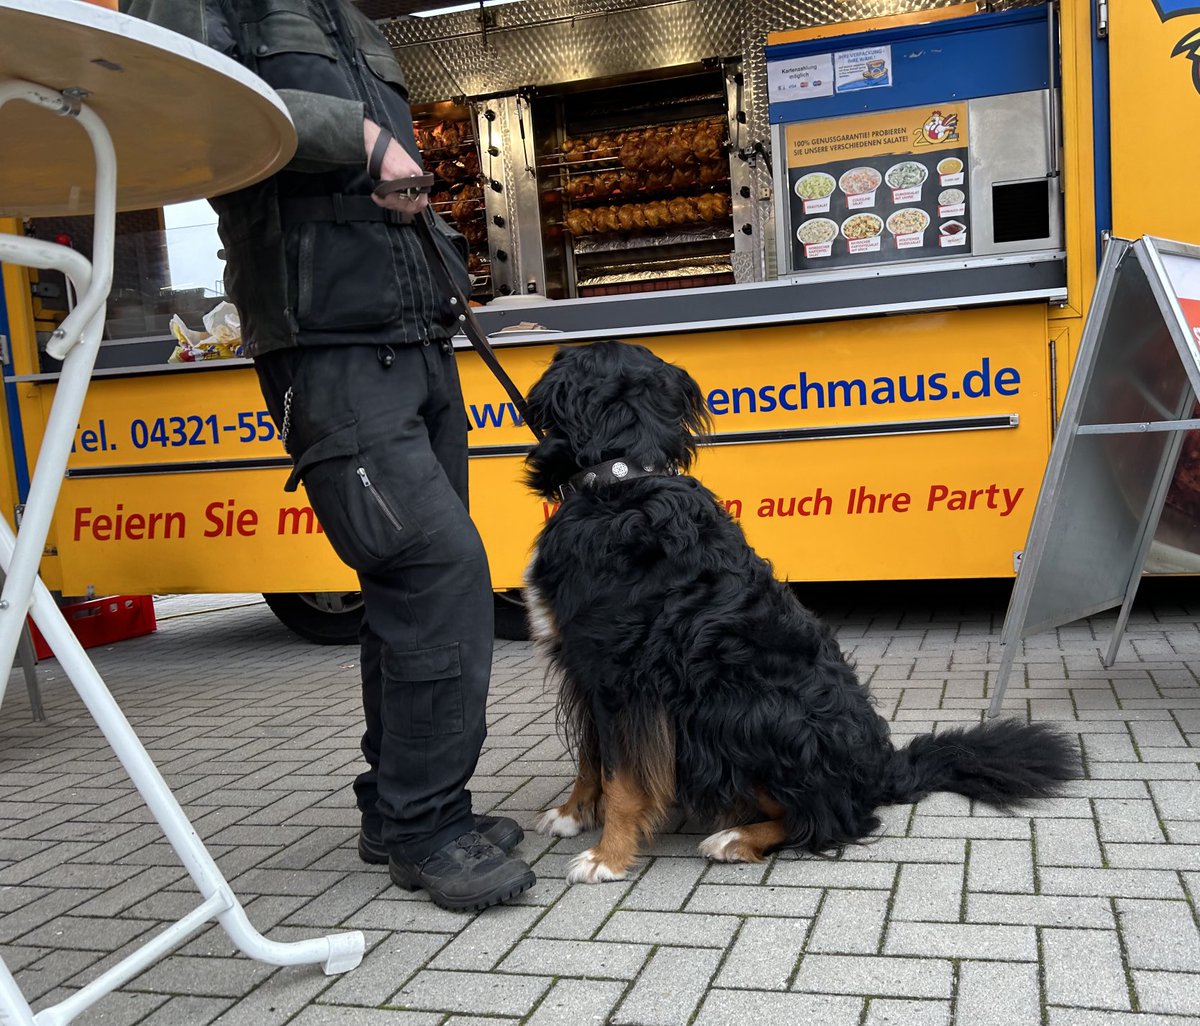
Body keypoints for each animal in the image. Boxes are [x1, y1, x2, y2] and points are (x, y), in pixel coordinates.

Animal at [520, 343, 1084, 883]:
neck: (620, 481)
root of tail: (883, 769)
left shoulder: (622, 680)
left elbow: (621, 779)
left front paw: (608, 856)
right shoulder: (586, 669)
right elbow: (591, 758)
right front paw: (572, 814)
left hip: (743, 712)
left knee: (830, 818)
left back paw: (736, 838)